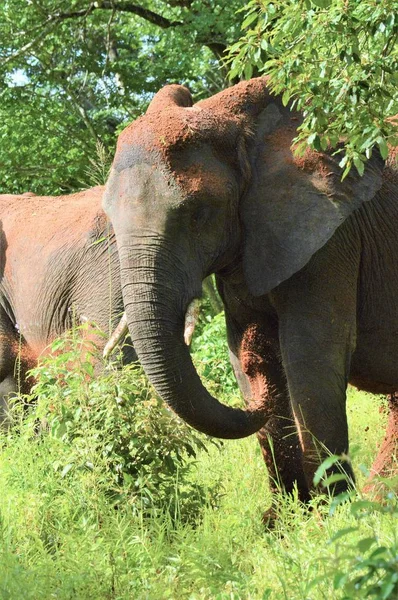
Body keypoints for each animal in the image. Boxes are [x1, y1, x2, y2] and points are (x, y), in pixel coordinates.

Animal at [102, 74, 398, 506]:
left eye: (199, 213)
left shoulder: (331, 240)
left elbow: (311, 355)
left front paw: (334, 513)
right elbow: (239, 349)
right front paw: (290, 515)